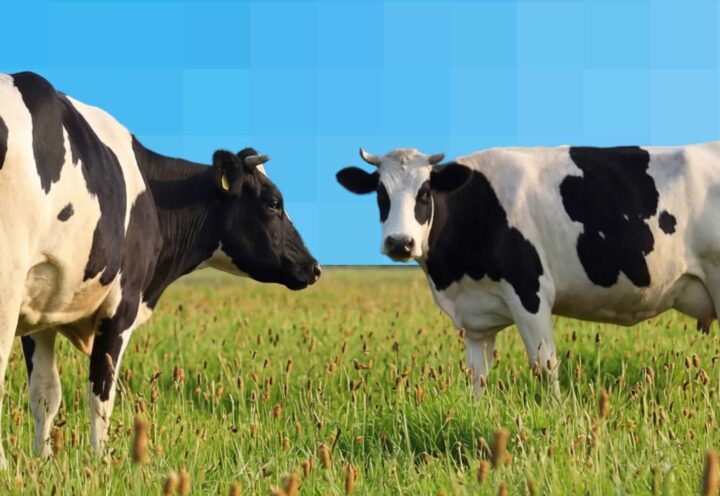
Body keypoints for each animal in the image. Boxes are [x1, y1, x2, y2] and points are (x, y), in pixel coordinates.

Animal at [0, 71, 321, 465]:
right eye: (274, 203)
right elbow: (101, 394)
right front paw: (101, 461)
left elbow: (46, 394)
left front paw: (43, 459)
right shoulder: (121, 304)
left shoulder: (42, 309)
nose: (314, 266)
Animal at [337, 145, 719, 396]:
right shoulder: (476, 316)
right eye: (380, 193)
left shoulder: (530, 291)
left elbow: (544, 365)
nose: (400, 243)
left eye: (425, 192)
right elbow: (478, 376)